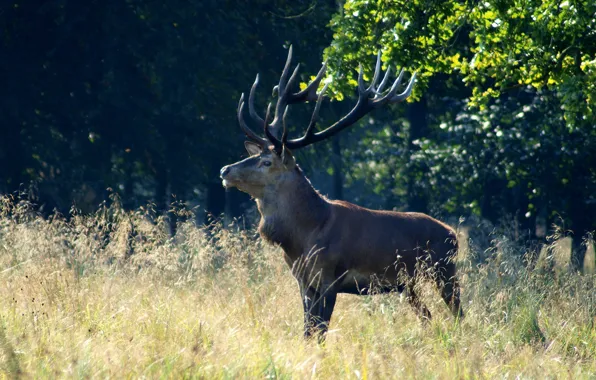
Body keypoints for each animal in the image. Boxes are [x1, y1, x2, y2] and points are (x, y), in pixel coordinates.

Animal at [221, 46, 464, 340]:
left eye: (266, 162)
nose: (224, 170)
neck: (303, 237)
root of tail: (453, 234)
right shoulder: (302, 280)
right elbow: (307, 331)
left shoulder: (330, 276)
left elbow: (320, 331)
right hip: (409, 284)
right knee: (427, 315)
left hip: (445, 270)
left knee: (459, 314)